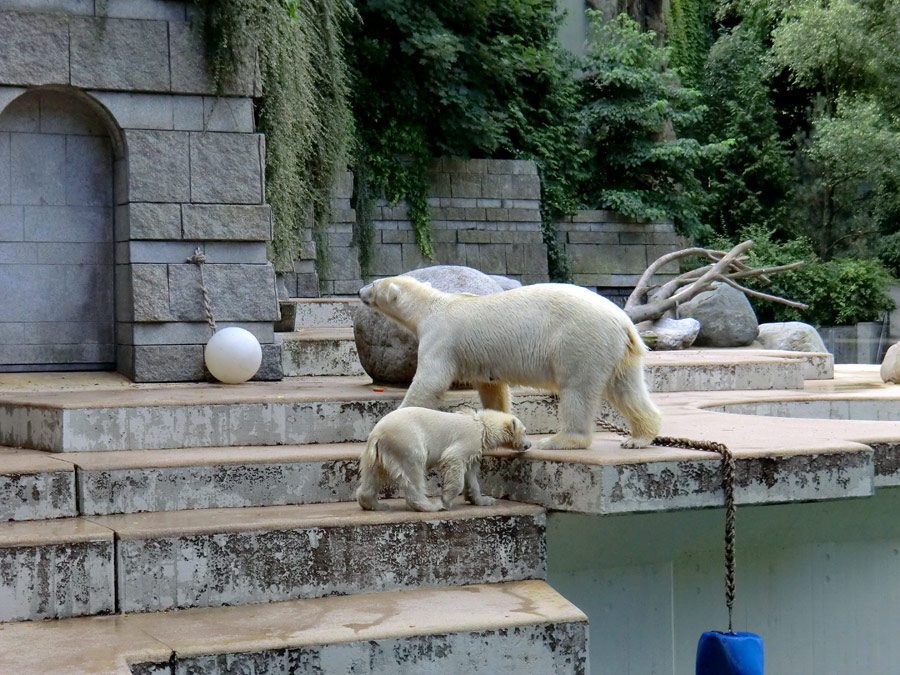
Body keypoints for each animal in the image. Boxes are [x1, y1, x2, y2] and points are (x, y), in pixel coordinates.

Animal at [358, 274, 660, 448]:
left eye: (374, 283)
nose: (360, 291)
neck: (432, 307)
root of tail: (624, 322)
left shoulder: (441, 338)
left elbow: (430, 381)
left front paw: (391, 419)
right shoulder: (481, 359)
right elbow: (492, 388)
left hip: (580, 340)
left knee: (578, 389)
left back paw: (560, 440)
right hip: (618, 352)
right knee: (626, 388)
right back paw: (639, 438)